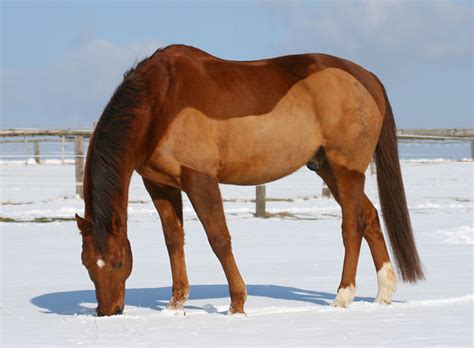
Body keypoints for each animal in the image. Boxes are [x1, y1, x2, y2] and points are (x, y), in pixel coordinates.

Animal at [76, 43, 424, 316]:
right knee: (369, 217)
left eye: (119, 263)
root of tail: (366, 78)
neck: (161, 101)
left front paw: (237, 304)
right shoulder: (160, 185)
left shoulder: (199, 179)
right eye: (86, 263)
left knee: (352, 225)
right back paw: (383, 293)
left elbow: (219, 239)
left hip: (346, 169)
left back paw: (343, 296)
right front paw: (175, 305)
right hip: (327, 168)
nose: (108, 312)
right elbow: (174, 240)